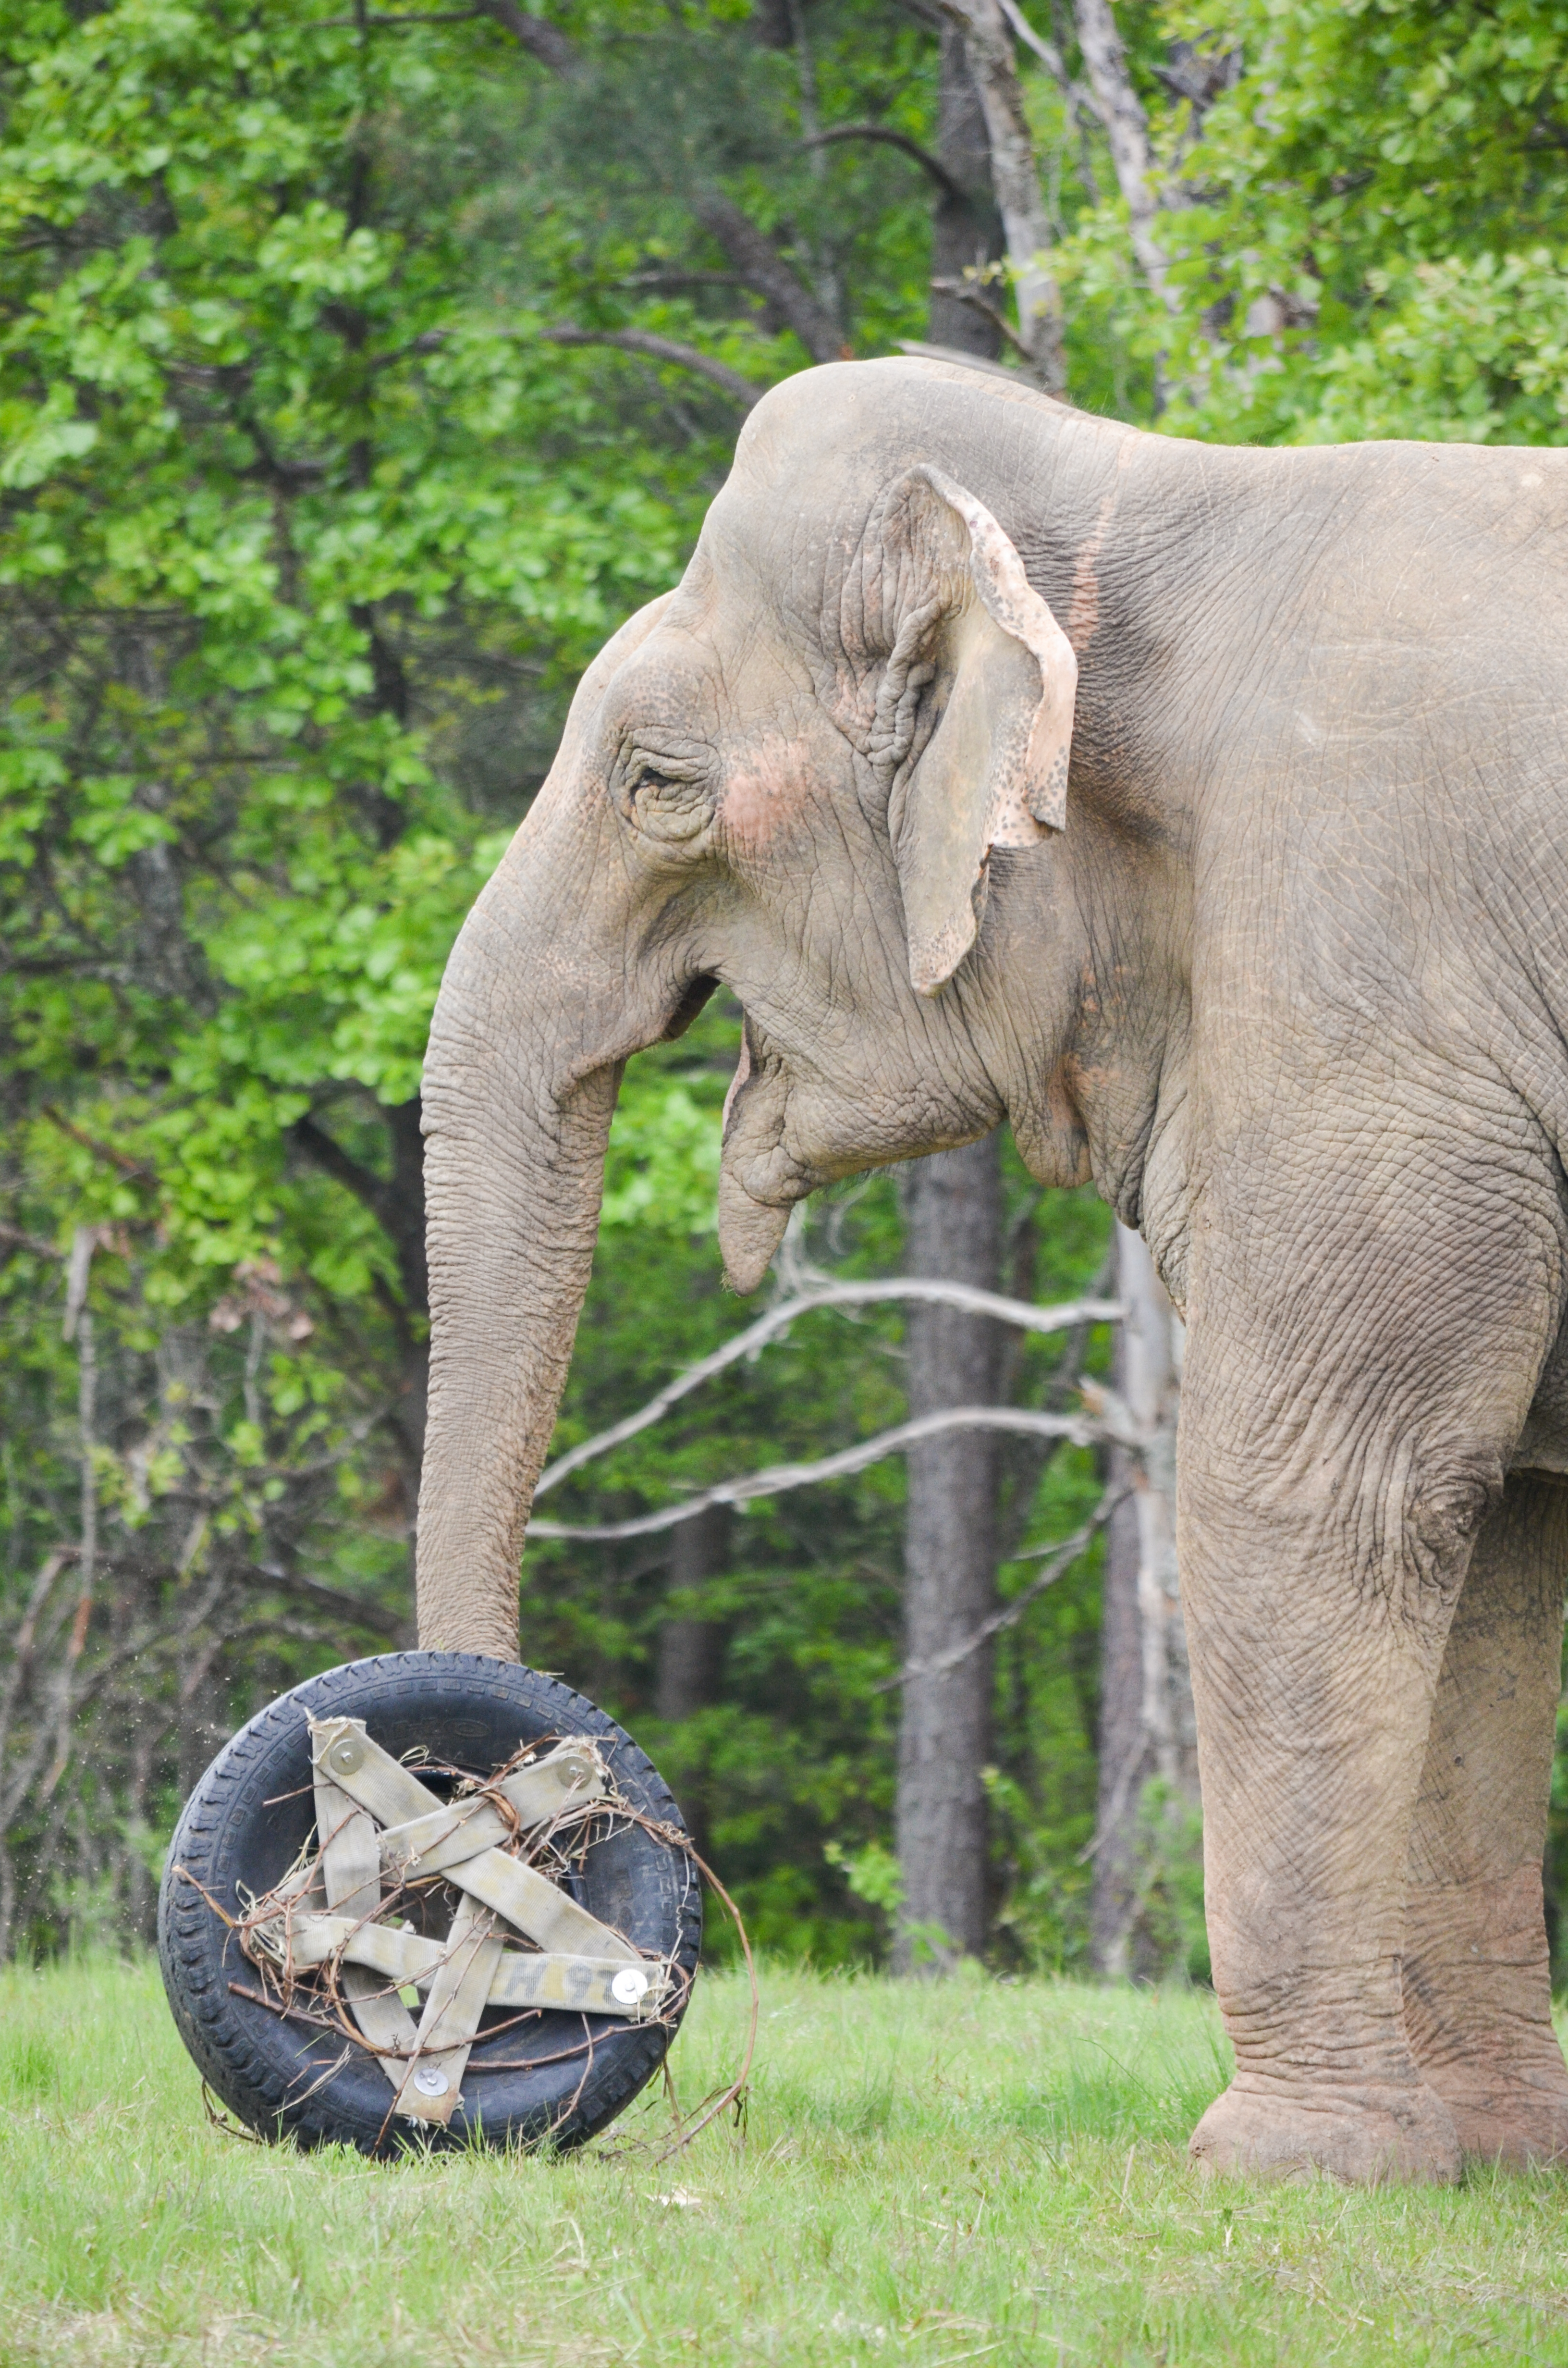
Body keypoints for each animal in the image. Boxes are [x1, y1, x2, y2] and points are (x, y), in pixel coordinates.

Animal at [414, 353, 1568, 2184]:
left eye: (655, 781)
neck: (1151, 488)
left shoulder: (1368, 987)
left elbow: (1333, 1487)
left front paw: (1287, 2168)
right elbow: (1496, 1531)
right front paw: (1495, 2160)